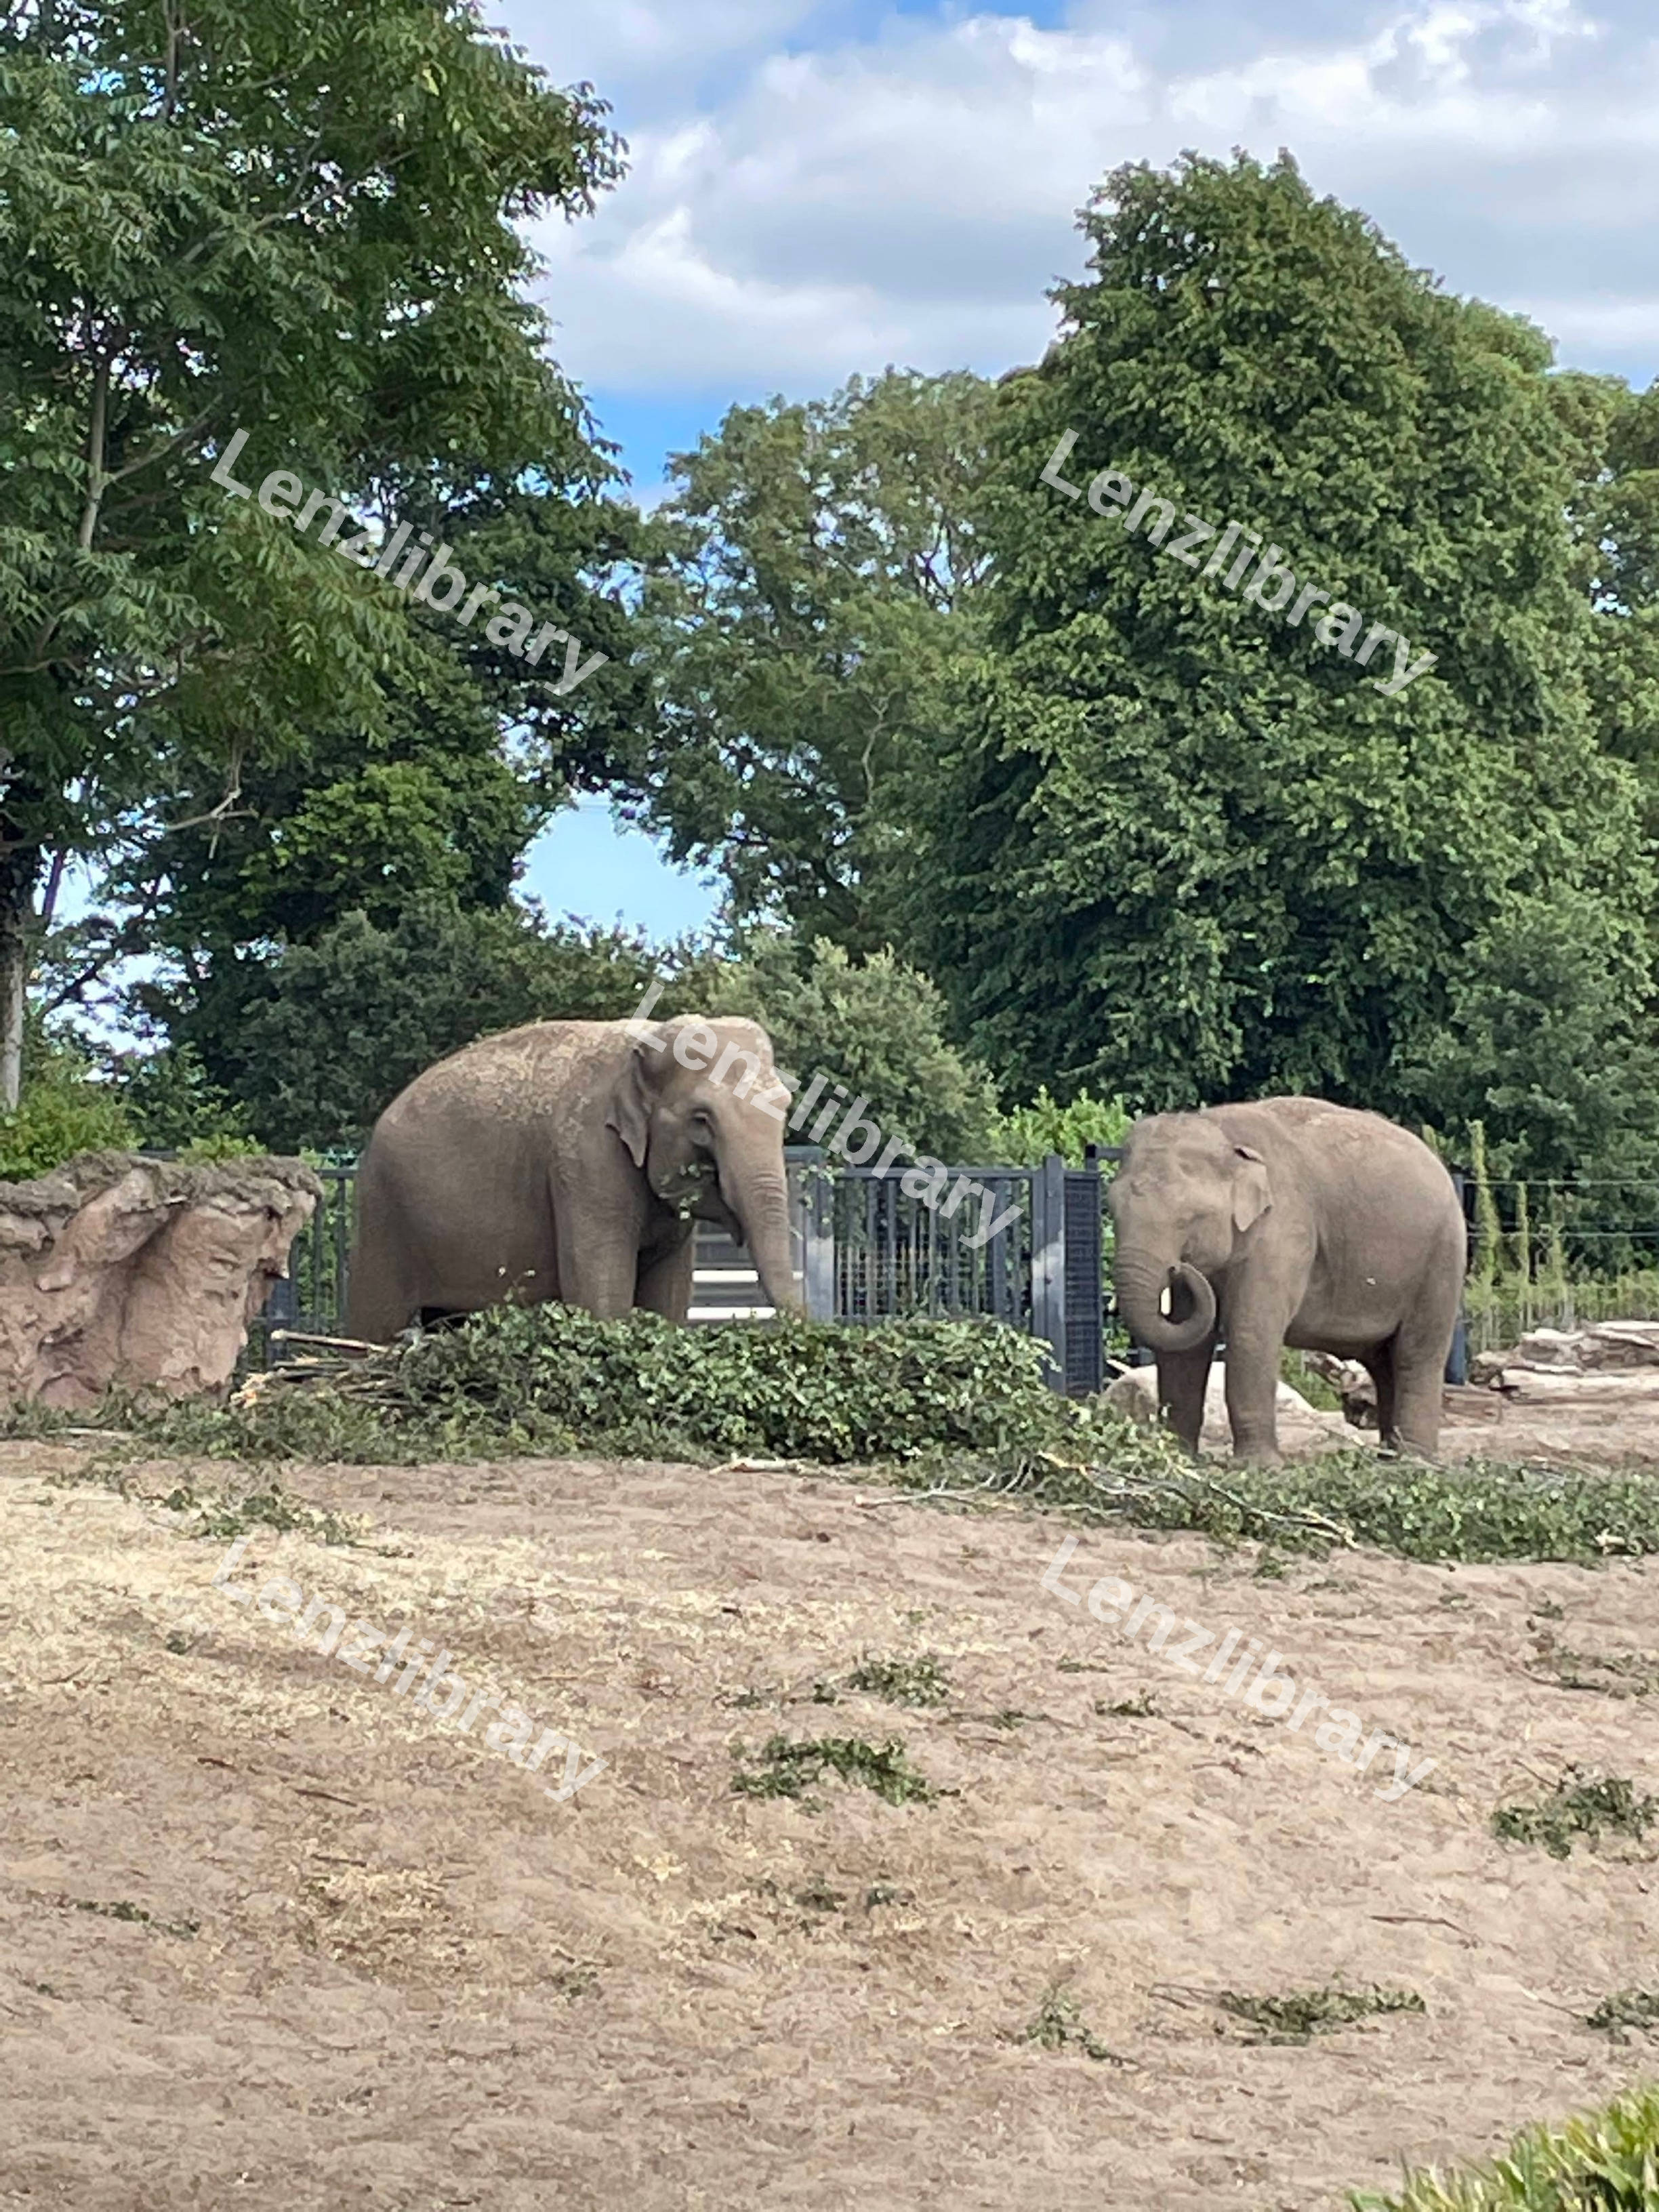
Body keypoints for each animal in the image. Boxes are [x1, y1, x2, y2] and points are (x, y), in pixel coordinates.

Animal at [344, 1013, 803, 1340]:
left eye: (785, 1106)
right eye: (702, 1120)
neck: (645, 1042)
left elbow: (667, 1300)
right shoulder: (586, 1158)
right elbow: (602, 1297)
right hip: (383, 1216)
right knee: (375, 1323)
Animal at [1107, 1098, 1466, 1461]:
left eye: (1188, 1218)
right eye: (1112, 1209)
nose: (1180, 1268)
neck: (1219, 1129)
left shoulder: (1285, 1229)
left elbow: (1252, 1330)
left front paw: (1257, 1466)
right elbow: (1186, 1346)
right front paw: (1179, 1457)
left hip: (1442, 1256)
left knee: (1417, 1353)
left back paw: (1413, 1461)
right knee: (1382, 1361)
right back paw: (1388, 1457)